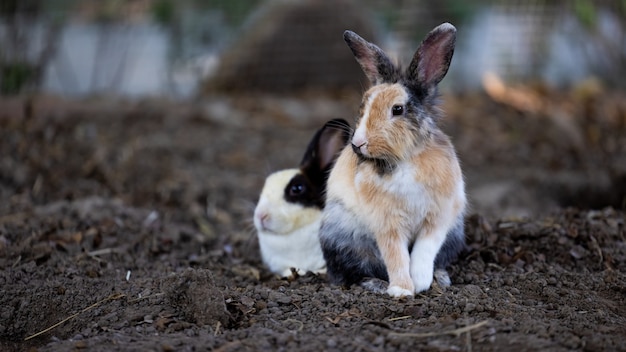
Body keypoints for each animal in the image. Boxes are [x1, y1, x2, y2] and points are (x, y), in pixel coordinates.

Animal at [320, 22, 466, 296]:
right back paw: (376, 284)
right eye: (363, 107)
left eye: (397, 109)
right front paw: (401, 290)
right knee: (352, 272)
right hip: (343, 238)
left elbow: (424, 250)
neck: (406, 159)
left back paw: (441, 278)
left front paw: (421, 282)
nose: (358, 143)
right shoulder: (387, 223)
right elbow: (396, 255)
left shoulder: (439, 217)